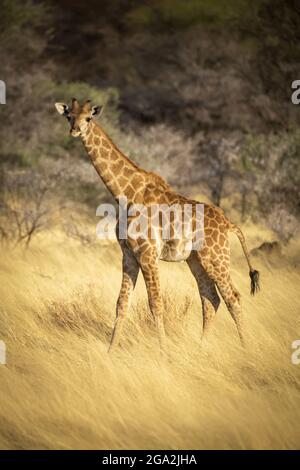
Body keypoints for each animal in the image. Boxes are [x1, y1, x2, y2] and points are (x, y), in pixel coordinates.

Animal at [55, 100, 258, 356]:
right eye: (69, 116)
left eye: (88, 118)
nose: (75, 131)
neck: (124, 193)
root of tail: (228, 223)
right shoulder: (129, 255)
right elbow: (121, 303)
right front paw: (110, 352)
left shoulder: (148, 252)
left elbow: (155, 303)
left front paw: (163, 353)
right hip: (196, 260)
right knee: (211, 298)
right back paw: (201, 349)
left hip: (216, 257)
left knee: (233, 297)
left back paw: (246, 350)